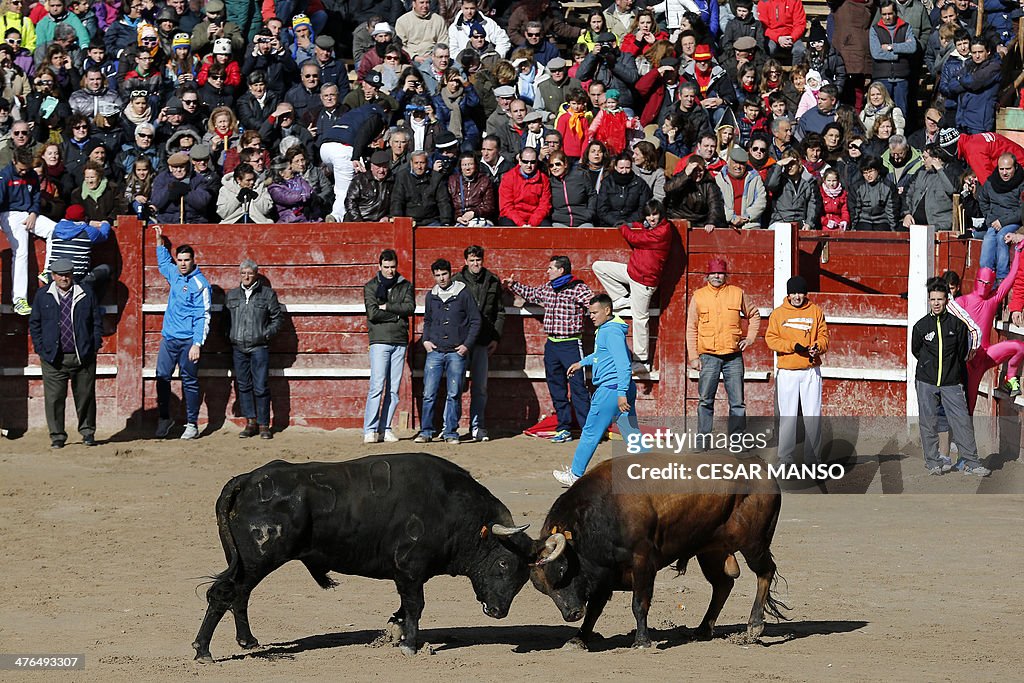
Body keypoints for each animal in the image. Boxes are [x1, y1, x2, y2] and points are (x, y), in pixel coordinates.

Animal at [189, 454, 536, 663]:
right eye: (504, 563)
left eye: (524, 577)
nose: (498, 612)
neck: (453, 509)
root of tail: (248, 479)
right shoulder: (410, 569)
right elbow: (416, 605)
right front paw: (410, 645)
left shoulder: (404, 574)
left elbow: (404, 607)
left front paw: (394, 631)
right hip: (258, 559)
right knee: (224, 594)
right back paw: (203, 651)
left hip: (248, 563)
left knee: (239, 595)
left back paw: (247, 641)